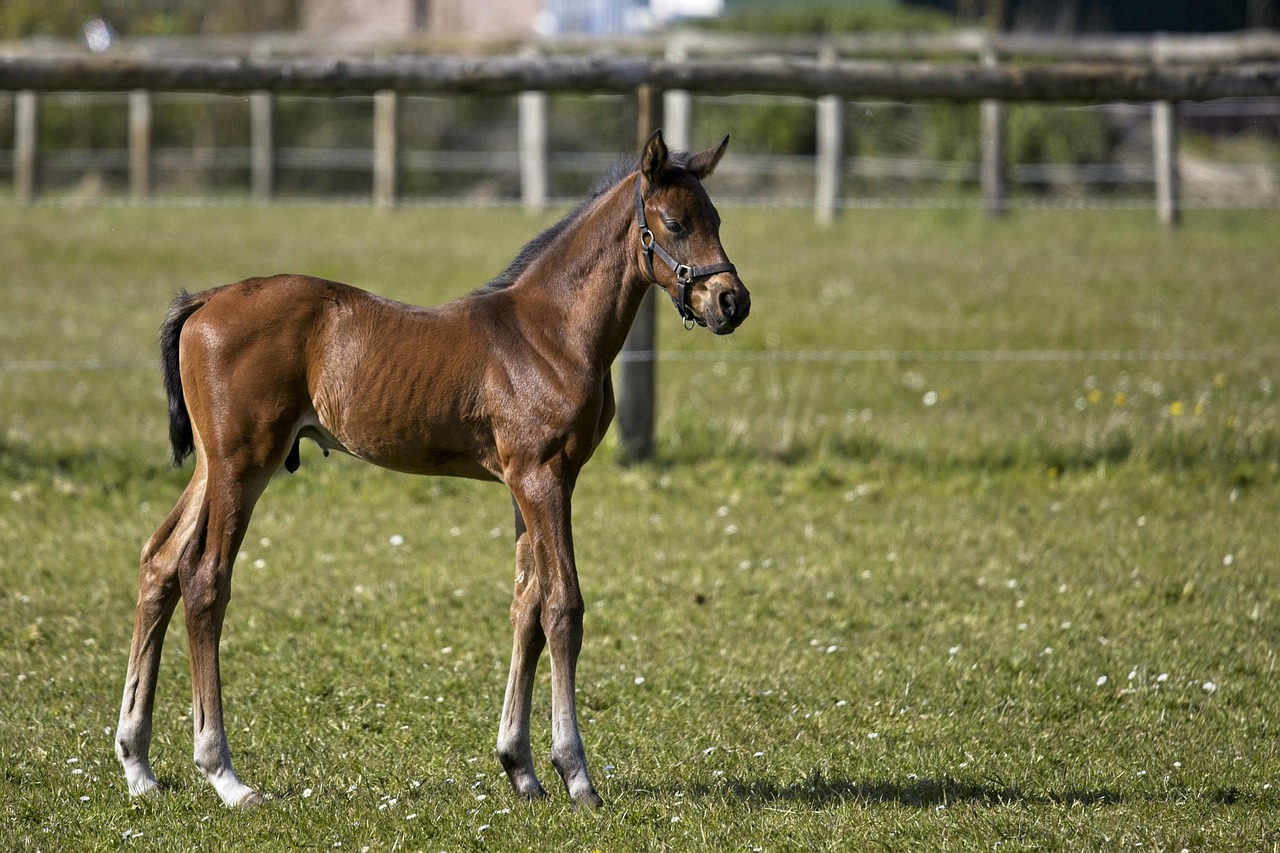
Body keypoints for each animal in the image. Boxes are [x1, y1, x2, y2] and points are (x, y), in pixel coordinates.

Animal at [114, 130, 750, 809]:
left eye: (717, 219)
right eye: (676, 223)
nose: (731, 302)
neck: (549, 332)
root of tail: (206, 300)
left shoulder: (529, 483)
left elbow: (526, 606)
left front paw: (520, 768)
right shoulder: (542, 476)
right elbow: (563, 607)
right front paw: (575, 773)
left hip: (212, 466)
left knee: (160, 562)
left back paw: (138, 765)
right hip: (243, 465)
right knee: (206, 579)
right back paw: (225, 774)